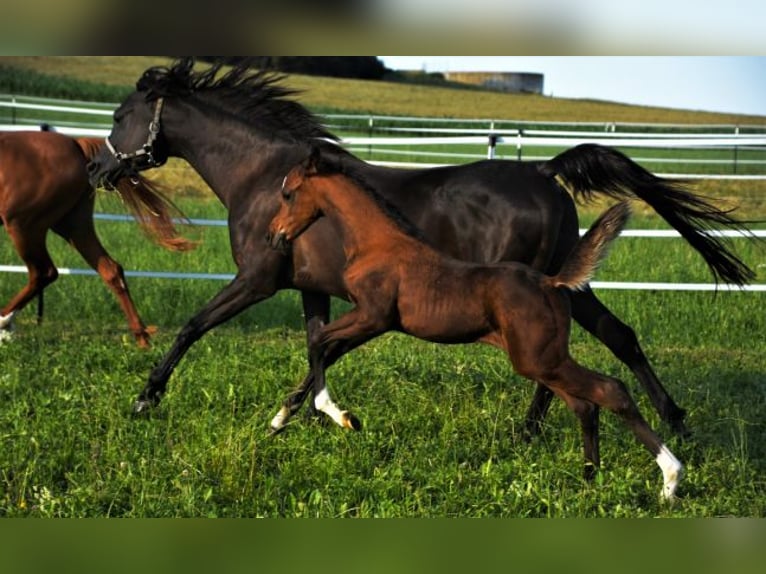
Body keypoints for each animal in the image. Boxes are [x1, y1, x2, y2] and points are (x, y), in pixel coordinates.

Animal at [0, 130, 194, 347]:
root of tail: (76, 144)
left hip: (24, 225)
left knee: (44, 272)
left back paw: (4, 323)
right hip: (73, 224)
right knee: (110, 269)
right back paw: (142, 337)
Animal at [86, 58, 752, 437]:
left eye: (121, 115)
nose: (97, 168)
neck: (263, 177)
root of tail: (543, 172)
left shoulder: (260, 278)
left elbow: (194, 325)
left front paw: (146, 398)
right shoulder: (310, 288)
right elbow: (316, 347)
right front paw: (312, 415)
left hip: (533, 290)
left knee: (559, 362)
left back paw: (531, 430)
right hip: (570, 281)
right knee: (620, 336)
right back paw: (673, 421)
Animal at [265, 147, 683, 500]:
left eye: (287, 193)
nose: (273, 235)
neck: (378, 244)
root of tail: (551, 282)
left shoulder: (372, 316)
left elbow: (318, 342)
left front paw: (339, 415)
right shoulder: (371, 321)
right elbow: (322, 345)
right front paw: (288, 417)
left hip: (538, 359)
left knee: (610, 390)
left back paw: (670, 478)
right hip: (543, 360)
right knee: (586, 403)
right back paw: (589, 476)